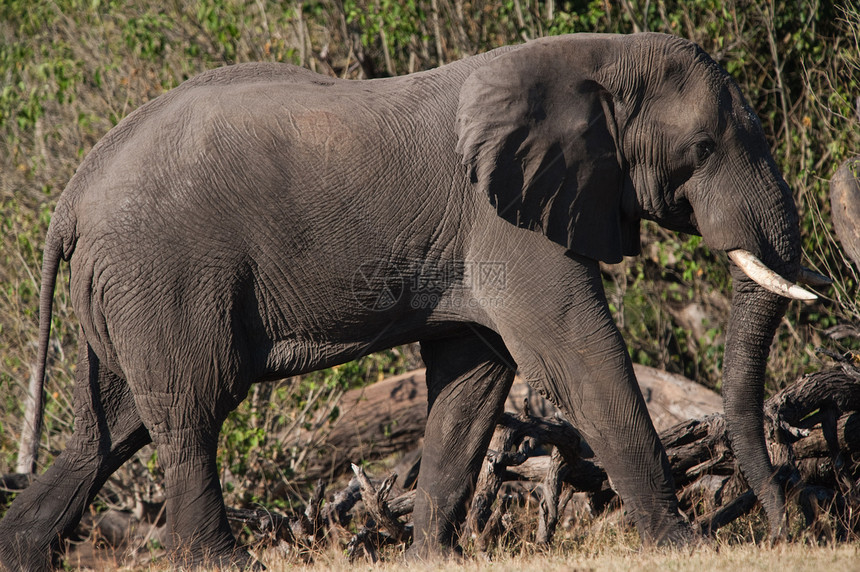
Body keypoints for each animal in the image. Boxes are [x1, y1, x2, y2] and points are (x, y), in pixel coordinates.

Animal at [0, 33, 820, 568]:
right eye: (703, 150)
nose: (784, 528)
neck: (589, 59)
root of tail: (73, 193)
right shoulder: (506, 222)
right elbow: (579, 359)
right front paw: (683, 545)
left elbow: (474, 382)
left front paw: (436, 557)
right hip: (165, 276)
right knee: (191, 410)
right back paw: (223, 563)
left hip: (125, 290)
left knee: (110, 430)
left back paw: (22, 552)